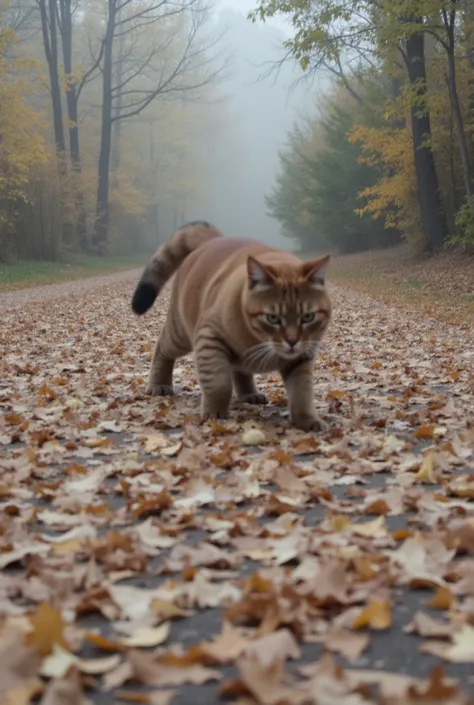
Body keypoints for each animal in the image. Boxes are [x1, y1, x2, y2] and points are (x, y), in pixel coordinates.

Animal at [132, 221, 334, 428]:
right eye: (272, 318)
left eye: (308, 317)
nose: (292, 341)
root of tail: (214, 239)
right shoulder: (209, 339)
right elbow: (219, 384)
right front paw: (214, 413)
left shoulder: (301, 359)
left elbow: (302, 392)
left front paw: (307, 420)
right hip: (179, 334)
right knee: (162, 349)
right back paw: (159, 384)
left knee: (240, 371)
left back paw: (249, 394)